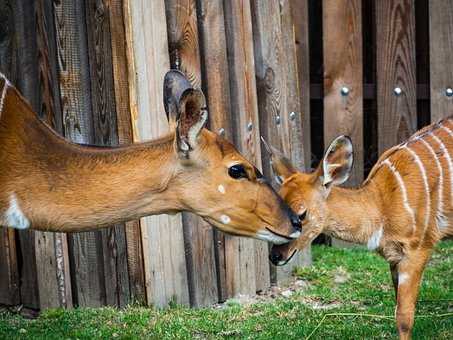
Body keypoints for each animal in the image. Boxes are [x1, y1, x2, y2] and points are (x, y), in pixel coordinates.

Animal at [266, 122, 452, 340]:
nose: (275, 256)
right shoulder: (394, 258)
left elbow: (404, 317)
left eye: (302, 214)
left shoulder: (418, 249)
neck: (381, 204)